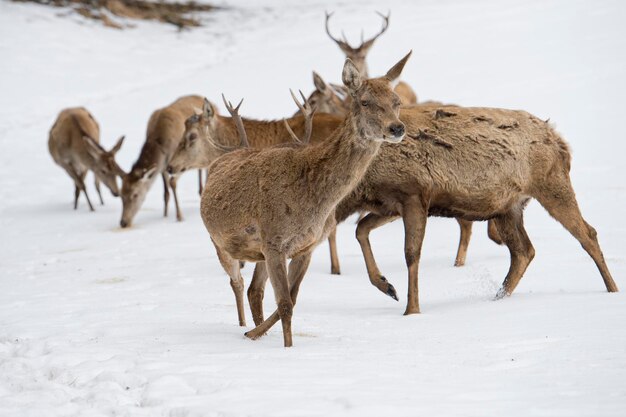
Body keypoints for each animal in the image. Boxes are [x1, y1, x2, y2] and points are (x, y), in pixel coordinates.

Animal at [118, 94, 204, 228]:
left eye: (135, 194)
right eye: (121, 194)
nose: (123, 222)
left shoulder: (177, 162)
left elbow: (172, 183)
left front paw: (179, 216)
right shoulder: (163, 167)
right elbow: (165, 193)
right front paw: (164, 216)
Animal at [199, 53, 410, 346]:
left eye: (396, 101)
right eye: (365, 101)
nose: (397, 128)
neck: (312, 200)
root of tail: (223, 157)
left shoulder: (305, 247)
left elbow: (291, 300)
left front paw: (261, 334)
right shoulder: (274, 241)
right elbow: (285, 304)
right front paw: (285, 347)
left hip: (259, 253)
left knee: (255, 290)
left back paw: (253, 329)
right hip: (219, 243)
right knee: (238, 284)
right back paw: (242, 324)